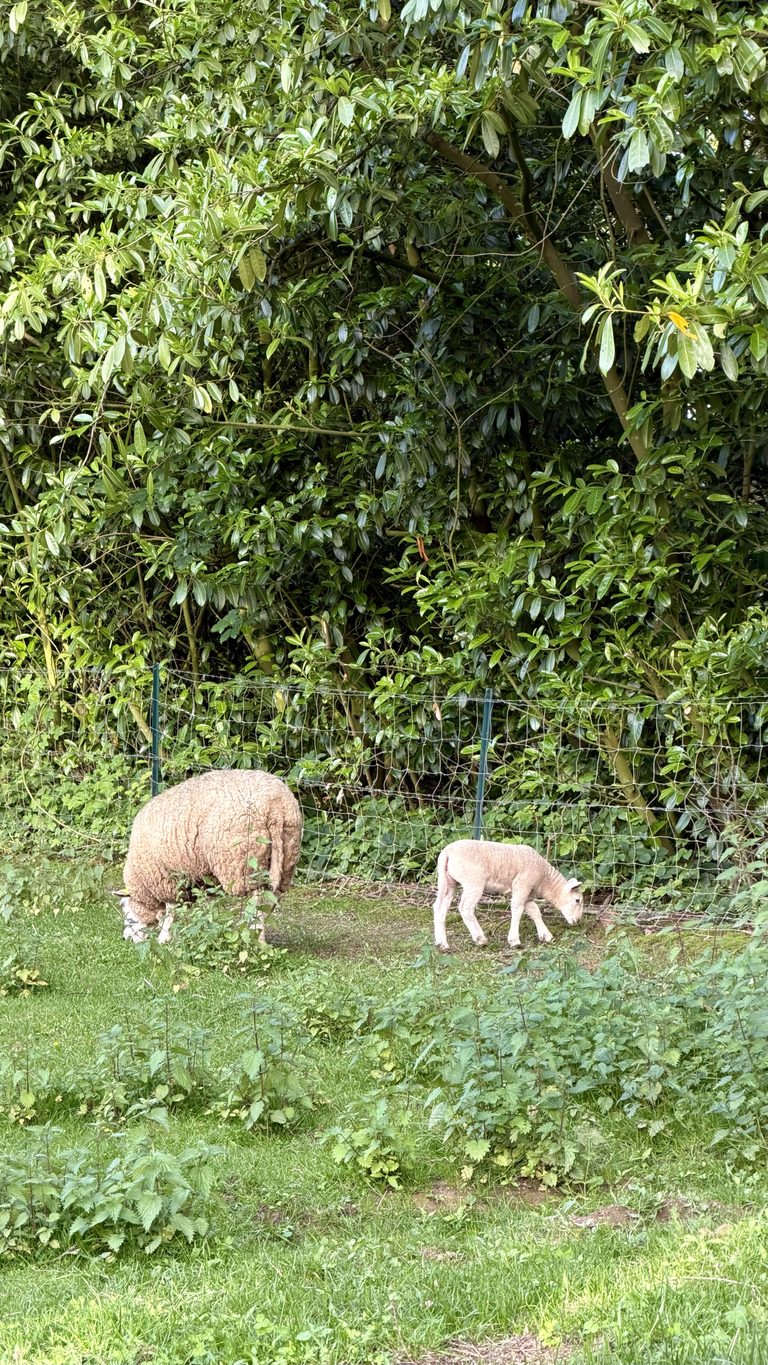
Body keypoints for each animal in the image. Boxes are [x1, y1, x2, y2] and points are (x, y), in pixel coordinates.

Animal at [115, 769, 303, 945]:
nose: (125, 938)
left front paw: (164, 937)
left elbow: (171, 911)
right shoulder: (202, 880)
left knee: (256, 901)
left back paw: (255, 938)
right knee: (270, 900)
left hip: (243, 861)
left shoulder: (167, 880)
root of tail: (276, 806)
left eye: (127, 912)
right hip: (286, 855)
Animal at [432, 839, 583, 952]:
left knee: (439, 907)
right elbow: (517, 909)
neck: (543, 880)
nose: (578, 921)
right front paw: (514, 941)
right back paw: (480, 939)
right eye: (577, 900)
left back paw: (442, 944)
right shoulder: (522, 884)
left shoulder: (528, 893)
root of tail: (447, 852)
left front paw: (546, 935)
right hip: (474, 882)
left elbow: (535, 911)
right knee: (465, 908)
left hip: (448, 880)